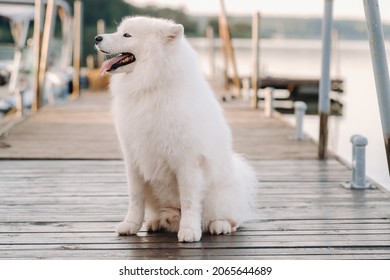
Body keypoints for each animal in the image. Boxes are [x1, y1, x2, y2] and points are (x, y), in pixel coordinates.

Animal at [95, 16, 256, 242]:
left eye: (127, 35)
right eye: (119, 32)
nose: (97, 38)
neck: (151, 86)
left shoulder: (187, 161)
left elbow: (188, 200)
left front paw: (189, 231)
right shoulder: (133, 158)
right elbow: (135, 196)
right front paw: (130, 225)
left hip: (219, 195)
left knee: (230, 219)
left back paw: (219, 225)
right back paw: (156, 222)